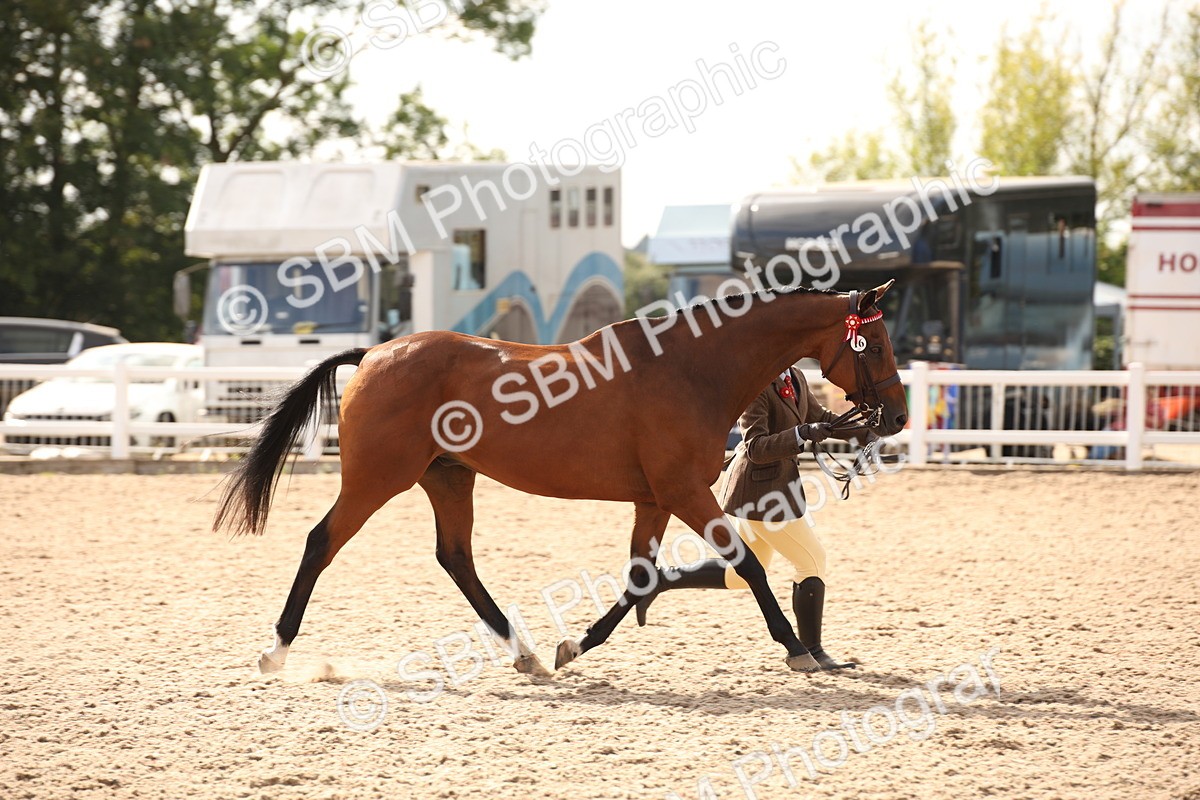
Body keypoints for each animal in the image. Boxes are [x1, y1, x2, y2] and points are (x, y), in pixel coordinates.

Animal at [214, 280, 908, 676]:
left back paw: (522, 653)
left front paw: (574, 646)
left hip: (448, 478)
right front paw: (796, 649)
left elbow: (641, 576)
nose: (898, 416)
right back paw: (275, 653)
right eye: (873, 344)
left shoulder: (656, 498)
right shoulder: (685, 491)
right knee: (321, 543)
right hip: (377, 479)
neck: (690, 369)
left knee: (455, 557)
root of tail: (377, 354)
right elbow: (748, 566)